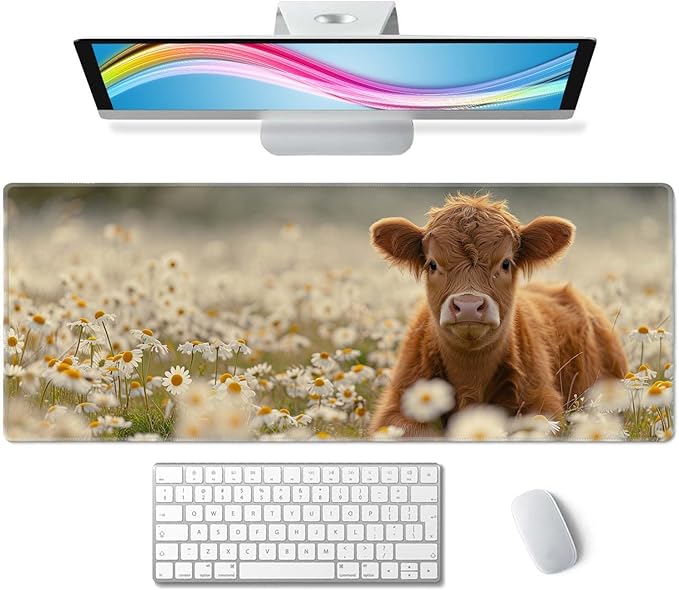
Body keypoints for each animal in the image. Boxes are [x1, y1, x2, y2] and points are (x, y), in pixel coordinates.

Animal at [369, 194, 627, 437]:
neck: (471, 377)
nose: (469, 305)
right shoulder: (394, 408)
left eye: (505, 263)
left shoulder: (542, 401)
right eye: (432, 264)